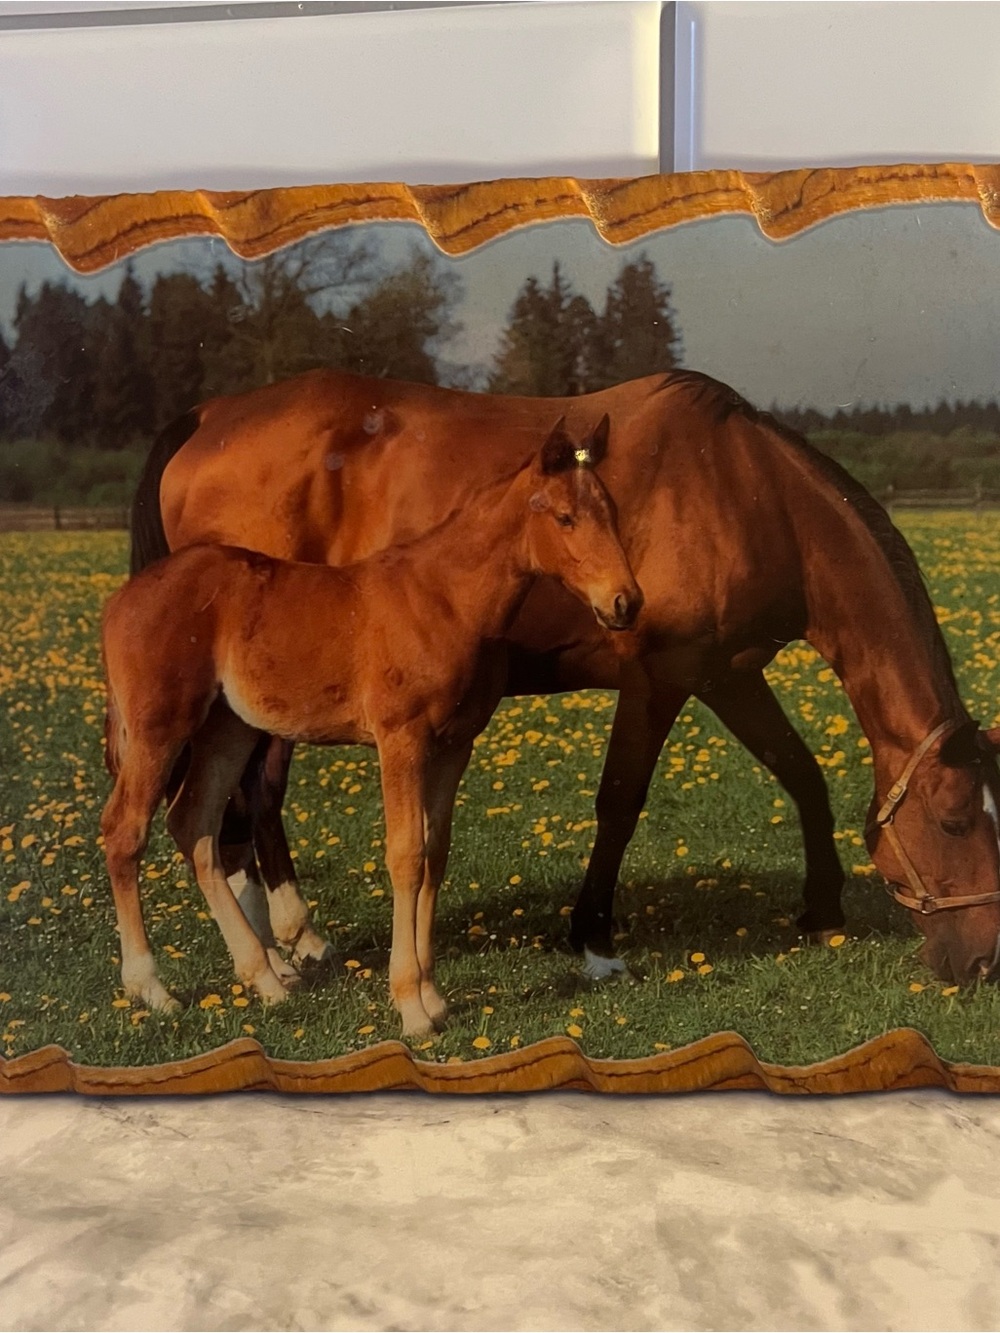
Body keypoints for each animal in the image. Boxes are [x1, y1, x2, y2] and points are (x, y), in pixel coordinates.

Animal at [102, 417, 642, 1036]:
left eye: (612, 512)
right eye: (565, 517)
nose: (626, 602)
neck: (445, 599)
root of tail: (122, 600)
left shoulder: (454, 745)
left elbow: (436, 853)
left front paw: (434, 996)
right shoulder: (400, 739)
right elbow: (405, 855)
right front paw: (410, 1006)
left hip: (227, 731)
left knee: (194, 826)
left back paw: (265, 980)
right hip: (159, 729)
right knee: (125, 832)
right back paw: (152, 987)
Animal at [131, 366, 1000, 985]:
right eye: (956, 818)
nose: (984, 960)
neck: (745, 489)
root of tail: (210, 416)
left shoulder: (728, 676)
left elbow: (802, 773)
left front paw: (820, 910)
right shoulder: (660, 678)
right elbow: (619, 802)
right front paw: (592, 935)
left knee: (241, 803)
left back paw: (275, 941)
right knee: (248, 797)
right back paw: (282, 940)